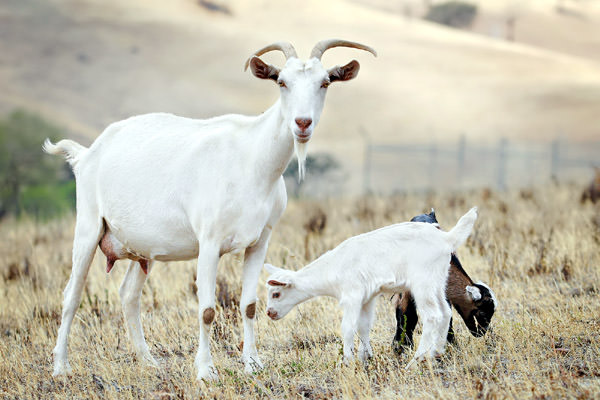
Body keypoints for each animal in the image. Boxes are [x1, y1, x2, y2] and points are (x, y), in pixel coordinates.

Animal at [45, 39, 376, 380]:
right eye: (282, 82)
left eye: (324, 83)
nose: (302, 123)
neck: (251, 160)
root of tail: (86, 154)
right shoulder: (209, 242)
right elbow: (206, 309)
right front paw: (205, 371)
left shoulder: (260, 241)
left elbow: (249, 305)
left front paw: (252, 363)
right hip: (89, 226)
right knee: (71, 295)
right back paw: (61, 366)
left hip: (143, 250)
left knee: (128, 295)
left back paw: (148, 361)